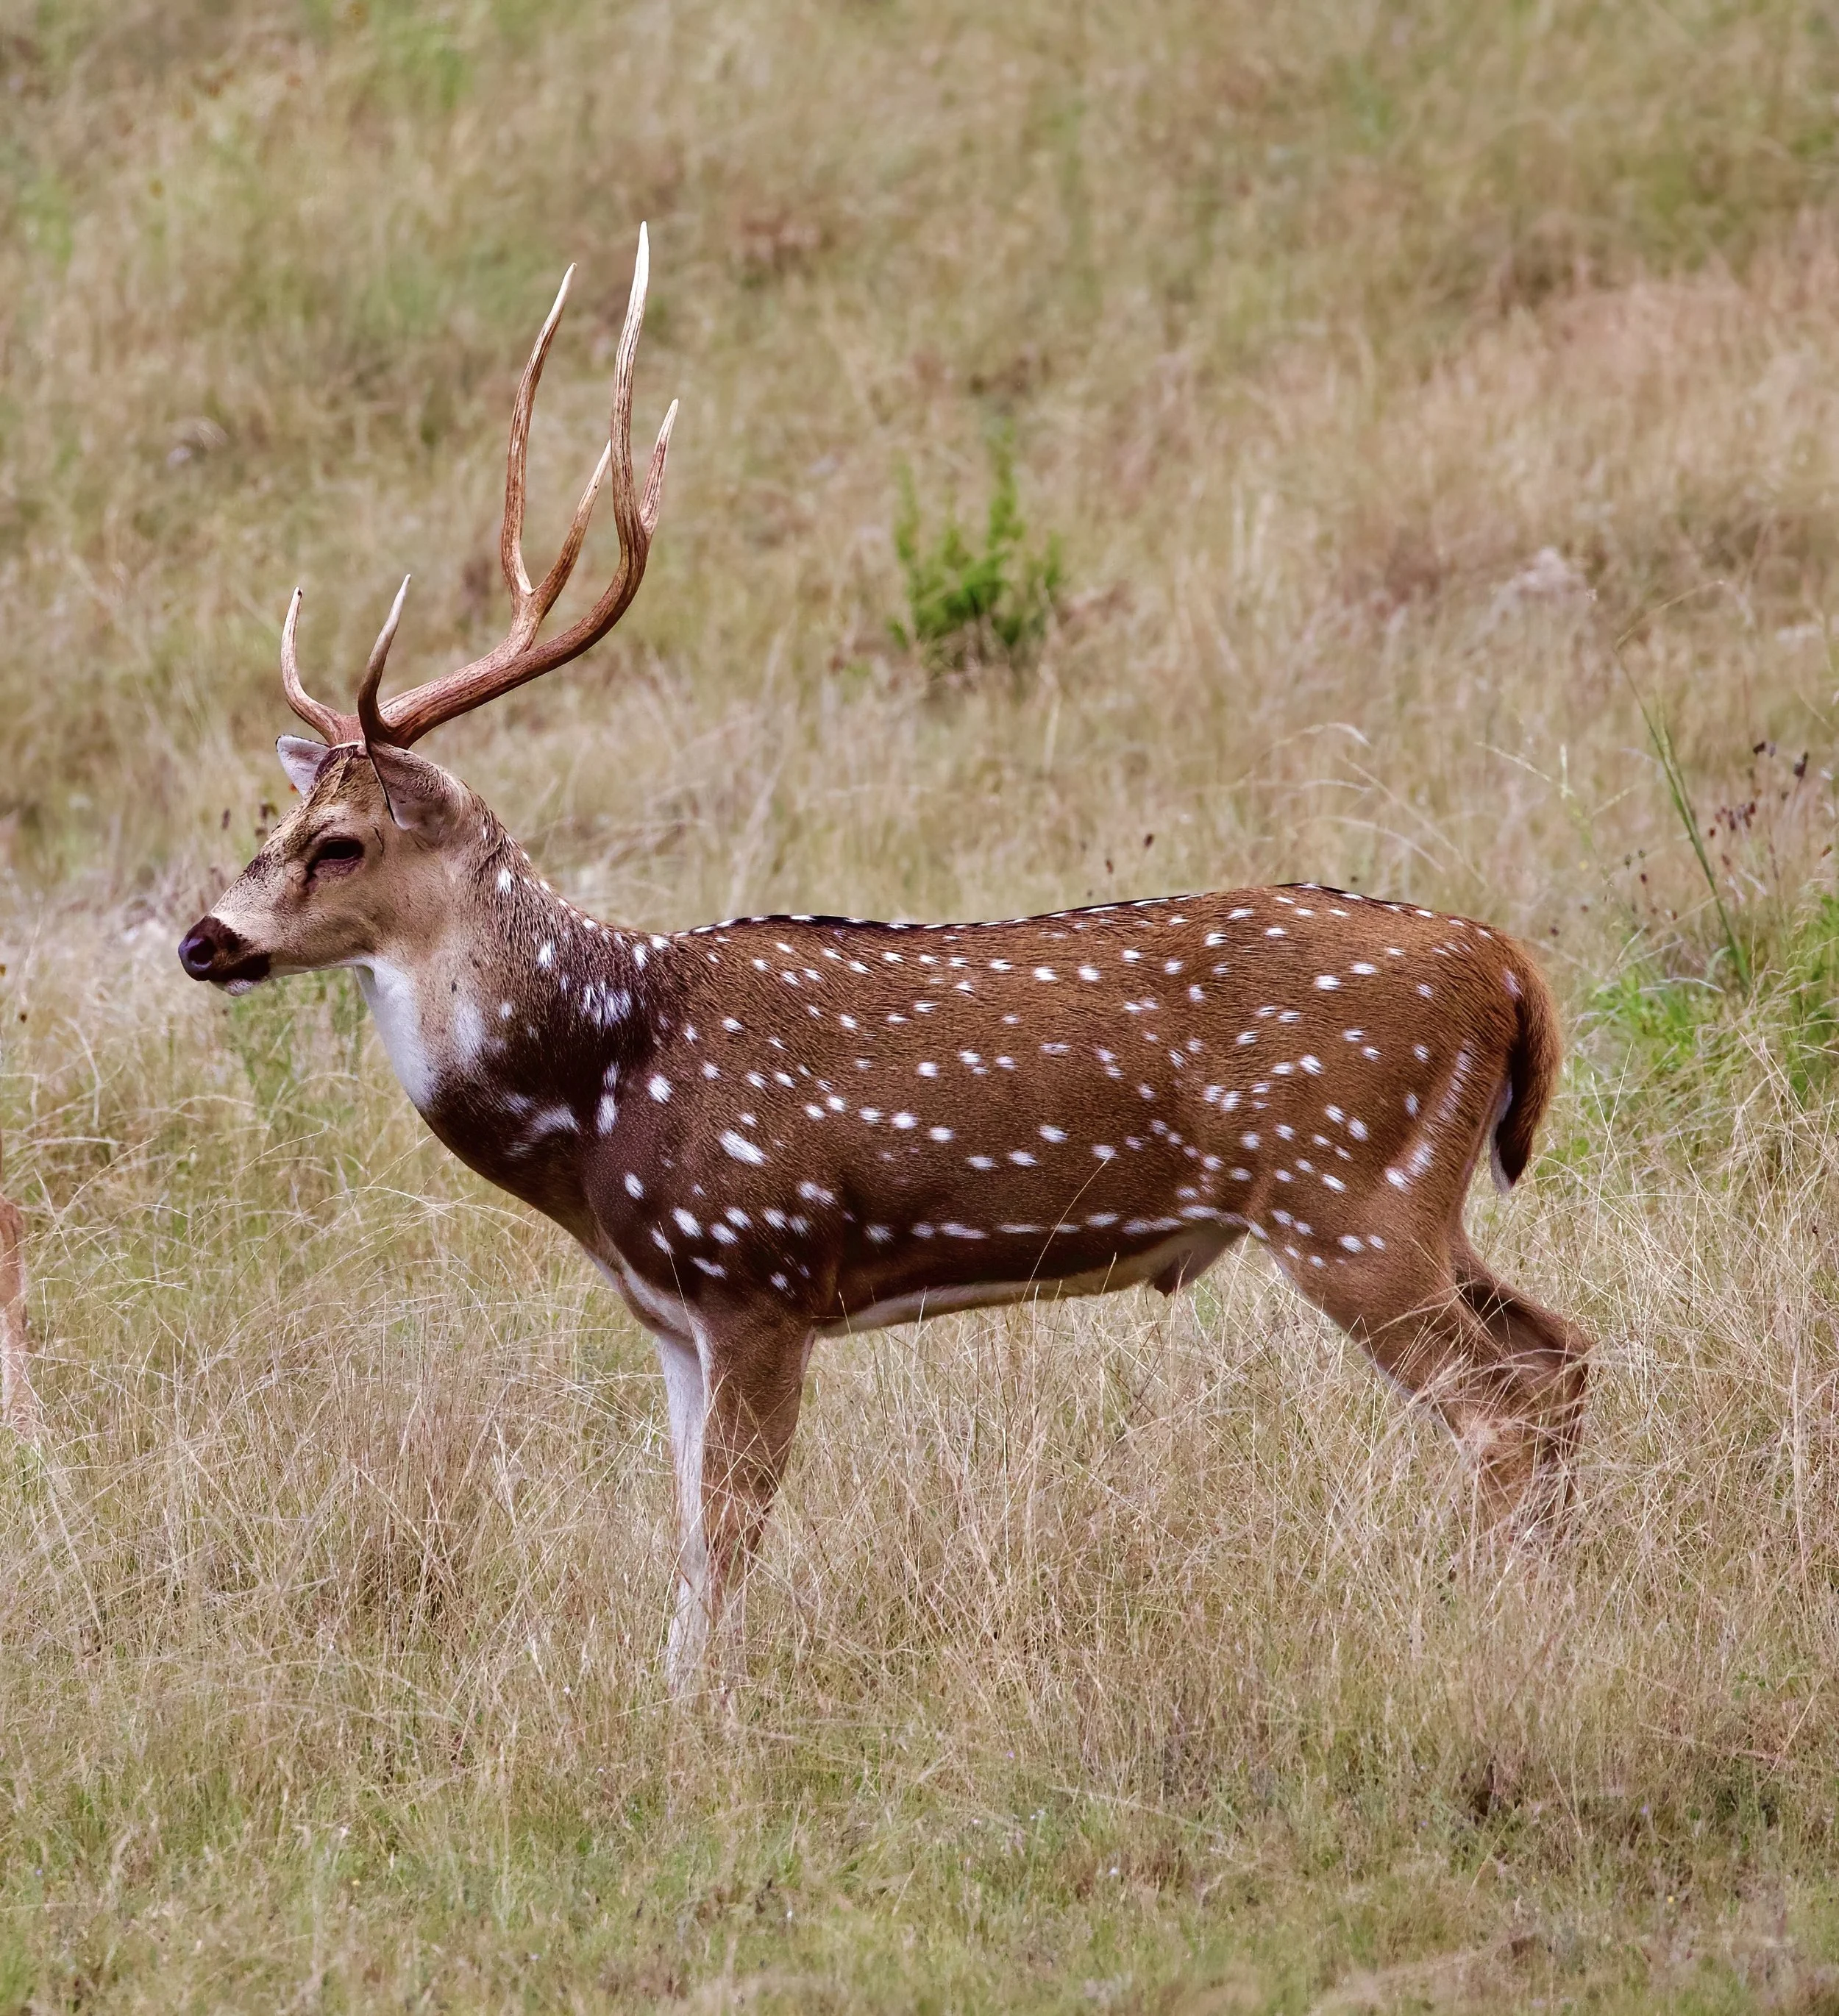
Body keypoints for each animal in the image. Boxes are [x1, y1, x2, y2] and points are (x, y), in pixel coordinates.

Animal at [178, 228, 1591, 1691]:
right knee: (1560, 1357)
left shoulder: (759, 1272)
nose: (203, 939)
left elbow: (731, 1529)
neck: (599, 1093)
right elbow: (686, 1532)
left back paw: (1508, 1632)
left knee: (1501, 1405)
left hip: (1347, 1191)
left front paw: (706, 1715)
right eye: (271, 821)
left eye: (339, 843)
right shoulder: (670, 1313)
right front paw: (671, 1696)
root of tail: (1509, 969)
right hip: (1415, 1201)